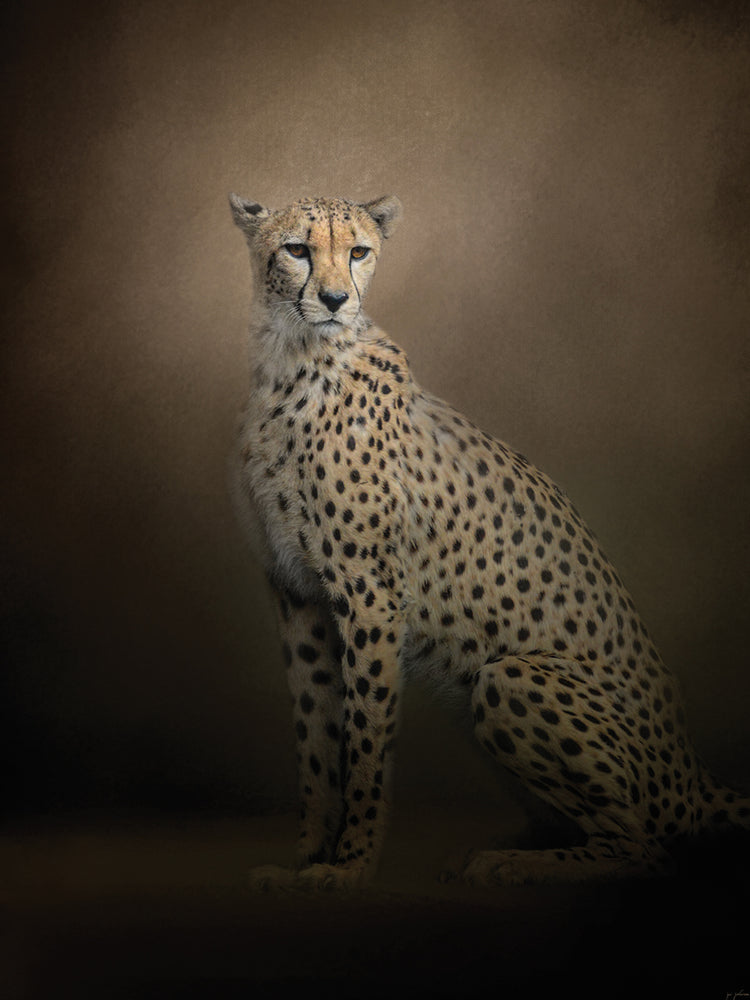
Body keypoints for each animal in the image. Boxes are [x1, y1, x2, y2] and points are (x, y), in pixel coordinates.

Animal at [228, 192, 750, 891]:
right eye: (296, 250)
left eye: (359, 251)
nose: (336, 299)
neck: (290, 357)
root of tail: (691, 774)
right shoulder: (298, 595)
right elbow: (315, 738)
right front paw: (306, 858)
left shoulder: (370, 597)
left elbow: (364, 739)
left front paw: (350, 867)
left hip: (508, 678)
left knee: (646, 848)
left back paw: (509, 864)